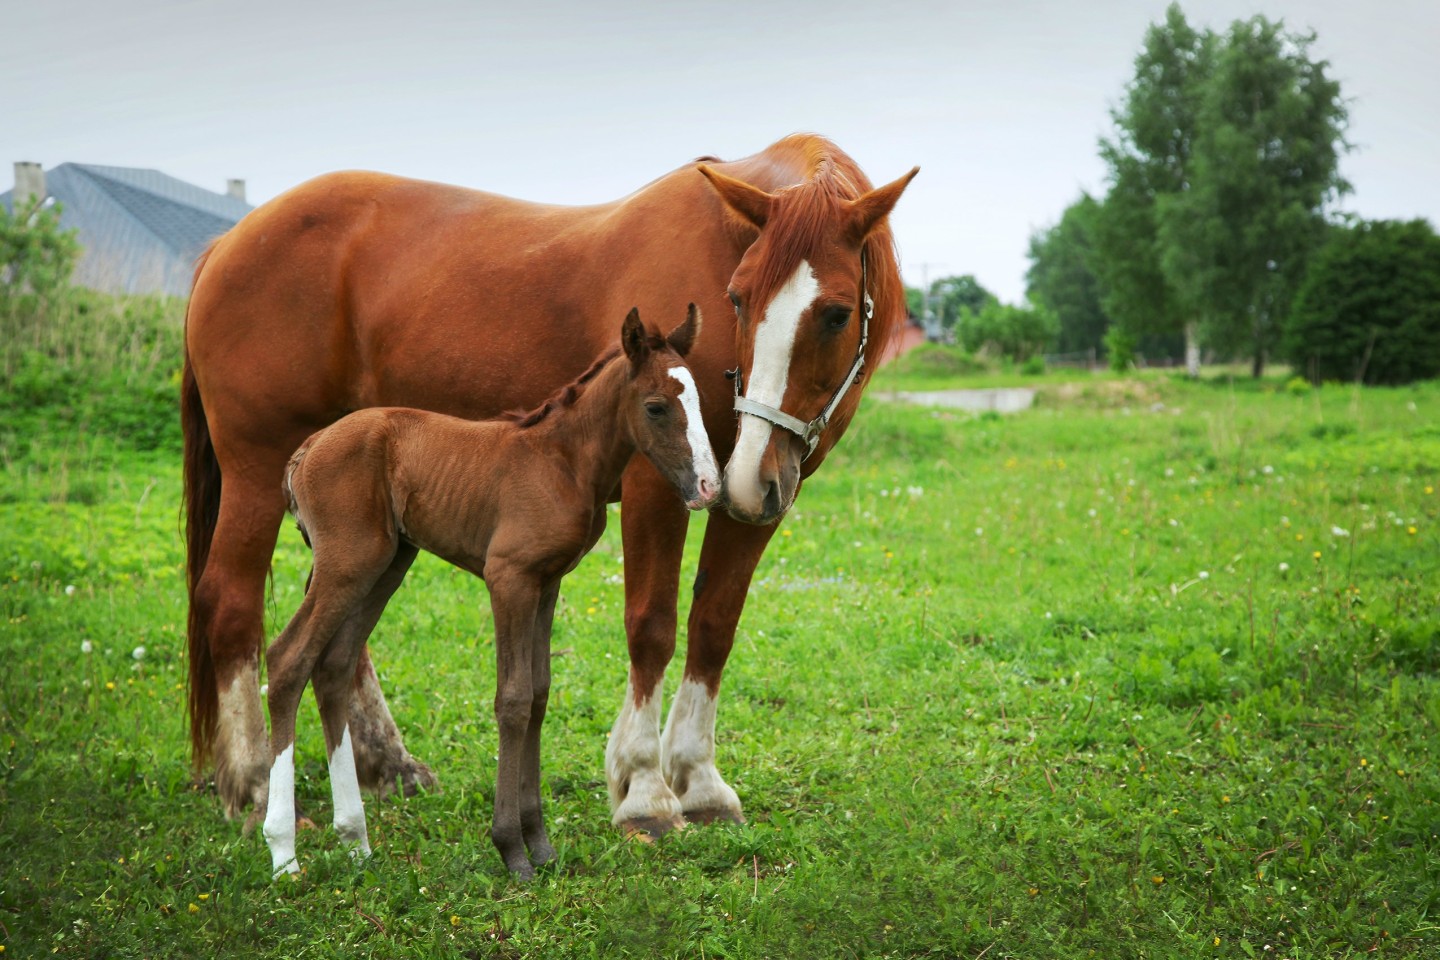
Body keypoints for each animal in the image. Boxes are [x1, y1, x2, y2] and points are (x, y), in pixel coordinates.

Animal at [262, 306, 716, 879]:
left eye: (698, 398)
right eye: (656, 407)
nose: (709, 487)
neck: (563, 461)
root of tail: (305, 450)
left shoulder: (547, 582)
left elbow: (540, 694)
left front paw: (540, 845)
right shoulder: (509, 578)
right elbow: (513, 698)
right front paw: (511, 850)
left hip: (386, 563)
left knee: (334, 665)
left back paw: (356, 840)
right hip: (348, 564)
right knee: (287, 660)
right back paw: (283, 852)